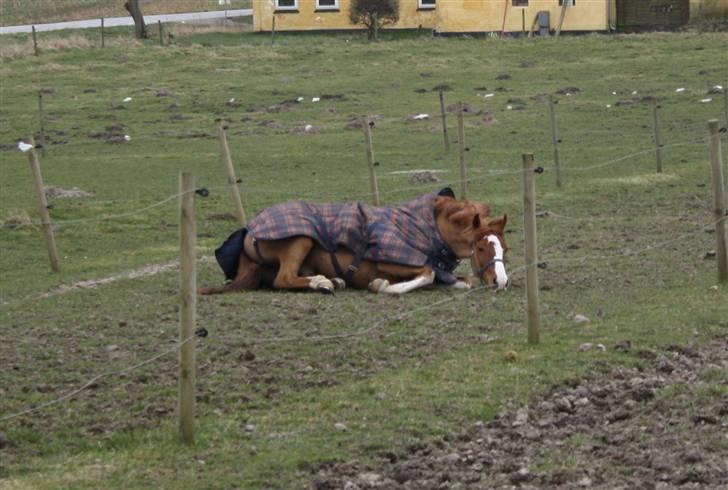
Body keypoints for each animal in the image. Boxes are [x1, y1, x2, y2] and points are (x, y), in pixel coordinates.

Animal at [196, 188, 510, 294]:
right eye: (481, 247)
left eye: (503, 248)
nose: (501, 281)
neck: (427, 228)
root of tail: (247, 232)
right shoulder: (391, 260)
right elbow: (427, 273)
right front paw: (381, 285)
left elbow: (460, 280)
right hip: (300, 240)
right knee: (283, 279)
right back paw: (322, 282)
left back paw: (331, 280)